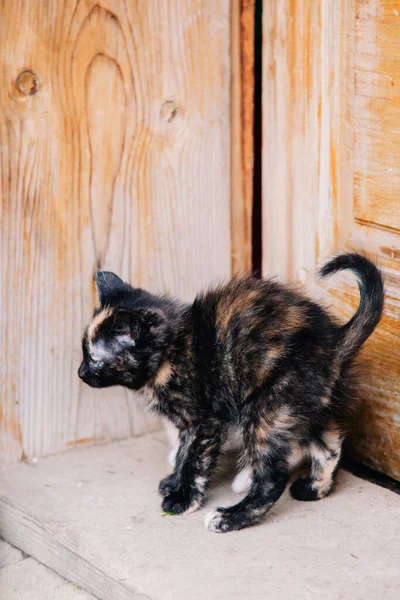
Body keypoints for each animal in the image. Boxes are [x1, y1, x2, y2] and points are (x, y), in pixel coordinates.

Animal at [79, 251, 384, 532]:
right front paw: (174, 483)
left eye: (95, 360)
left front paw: (183, 499)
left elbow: (194, 461)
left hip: (266, 409)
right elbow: (182, 454)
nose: (81, 373)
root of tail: (333, 344)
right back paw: (313, 488)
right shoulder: (189, 424)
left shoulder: (205, 422)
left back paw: (231, 517)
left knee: (273, 477)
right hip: (304, 407)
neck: (172, 353)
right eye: (83, 353)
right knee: (328, 445)